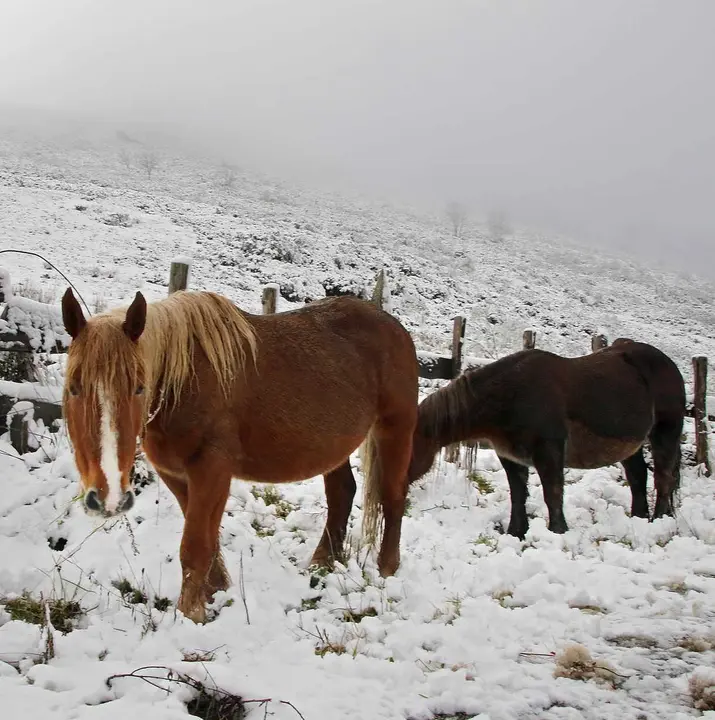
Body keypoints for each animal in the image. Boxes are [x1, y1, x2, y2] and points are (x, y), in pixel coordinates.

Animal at [63, 290, 420, 620]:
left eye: (139, 387)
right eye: (73, 387)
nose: (109, 499)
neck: (185, 382)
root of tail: (394, 326)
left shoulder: (212, 469)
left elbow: (195, 545)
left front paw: (191, 613)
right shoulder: (177, 474)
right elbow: (206, 538)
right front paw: (217, 591)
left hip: (396, 429)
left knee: (393, 495)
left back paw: (387, 568)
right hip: (335, 446)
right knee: (342, 492)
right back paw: (321, 562)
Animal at [408, 340, 688, 536]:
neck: (511, 396)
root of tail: (669, 364)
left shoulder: (549, 452)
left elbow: (552, 494)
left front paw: (558, 532)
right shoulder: (510, 456)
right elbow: (518, 494)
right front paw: (516, 533)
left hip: (665, 432)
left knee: (664, 477)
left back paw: (658, 520)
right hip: (630, 444)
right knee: (638, 476)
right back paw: (639, 518)